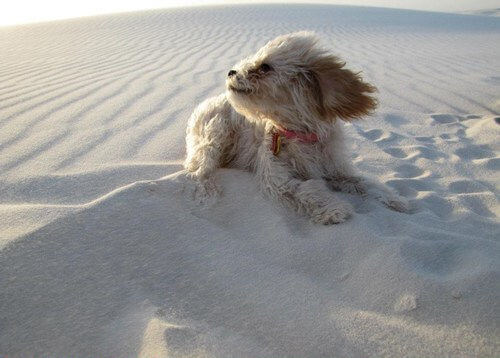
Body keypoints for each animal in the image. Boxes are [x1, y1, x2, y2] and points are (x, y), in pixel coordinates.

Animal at [182, 31, 408, 224]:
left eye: (265, 67)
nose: (230, 72)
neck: (300, 134)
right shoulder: (277, 180)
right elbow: (307, 189)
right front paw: (334, 209)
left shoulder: (337, 170)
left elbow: (365, 182)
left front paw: (395, 200)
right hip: (214, 137)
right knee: (199, 171)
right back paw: (208, 191)